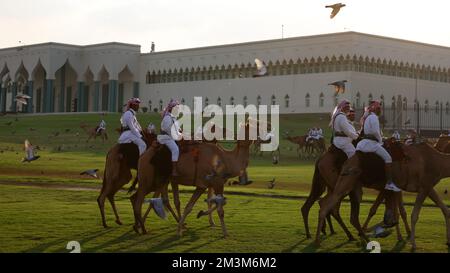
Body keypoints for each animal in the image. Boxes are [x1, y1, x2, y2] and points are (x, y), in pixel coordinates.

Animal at [314, 141, 450, 250]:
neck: (438, 161)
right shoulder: (424, 186)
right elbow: (413, 215)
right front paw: (413, 244)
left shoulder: (428, 187)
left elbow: (445, 210)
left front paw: (448, 241)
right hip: (346, 183)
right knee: (329, 206)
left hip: (349, 185)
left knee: (332, 207)